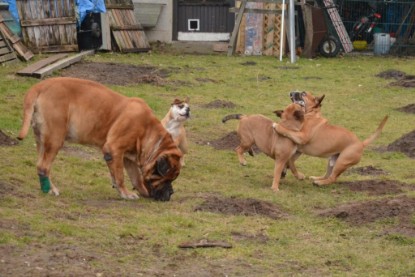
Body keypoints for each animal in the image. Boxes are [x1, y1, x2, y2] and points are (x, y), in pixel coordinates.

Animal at [17, 77, 184, 201]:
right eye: (167, 179)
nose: (171, 193)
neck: (148, 130)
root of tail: (39, 86)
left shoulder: (128, 157)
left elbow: (135, 177)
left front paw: (139, 191)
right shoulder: (114, 149)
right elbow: (120, 176)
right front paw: (125, 193)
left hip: (42, 141)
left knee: (40, 166)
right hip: (55, 139)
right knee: (44, 167)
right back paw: (51, 190)